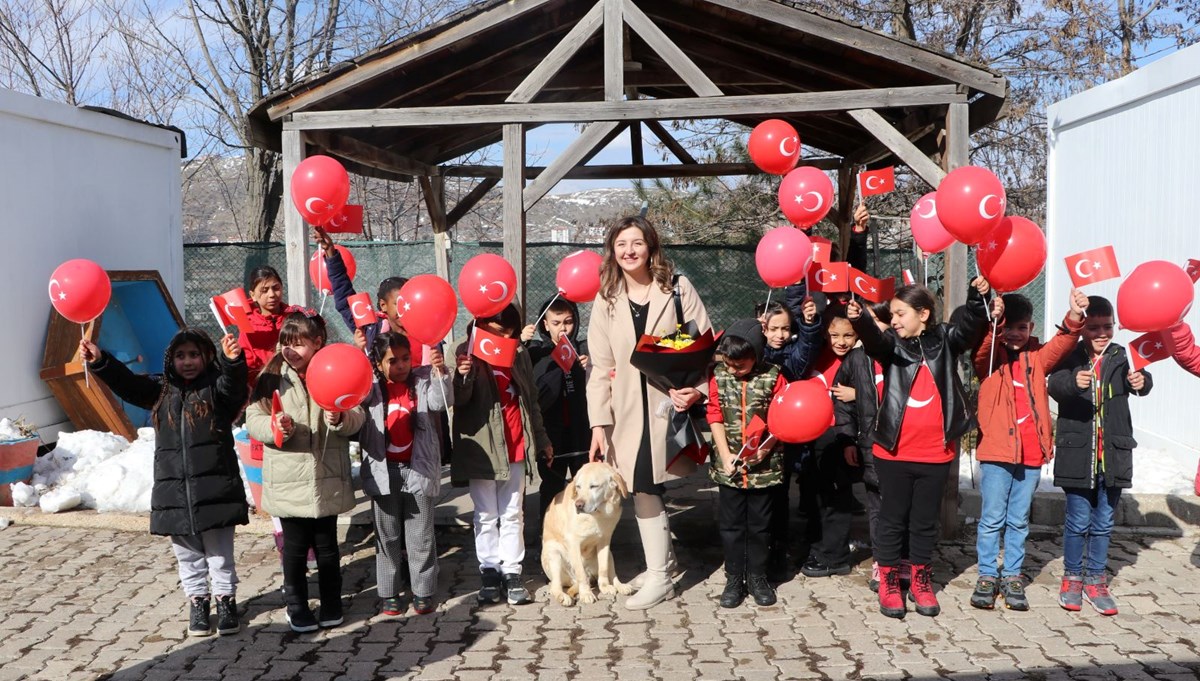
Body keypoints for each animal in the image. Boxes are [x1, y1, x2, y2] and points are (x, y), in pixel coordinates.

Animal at [544, 460, 638, 604]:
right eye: (578, 487)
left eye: (594, 486)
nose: (578, 505)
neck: (598, 514)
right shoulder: (573, 543)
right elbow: (581, 573)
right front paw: (586, 594)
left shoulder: (605, 541)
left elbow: (603, 568)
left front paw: (605, 587)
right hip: (554, 554)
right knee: (556, 587)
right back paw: (563, 596)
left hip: (610, 554)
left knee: (611, 574)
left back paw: (621, 586)